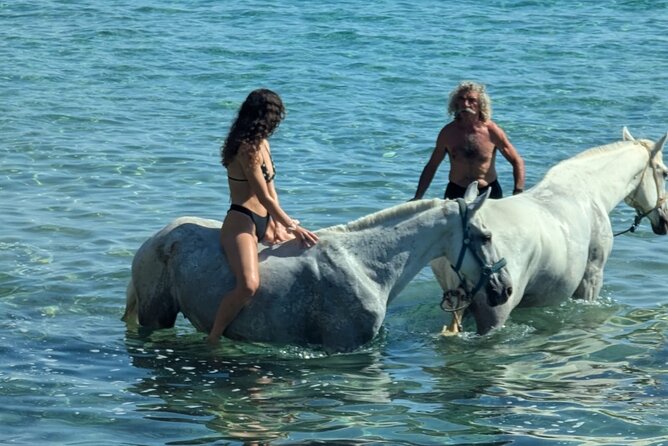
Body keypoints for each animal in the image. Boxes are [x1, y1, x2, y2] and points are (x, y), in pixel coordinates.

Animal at [122, 190, 511, 353]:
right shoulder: (343, 345)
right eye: (486, 235)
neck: (365, 265)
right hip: (156, 315)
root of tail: (155, 239)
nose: (504, 288)